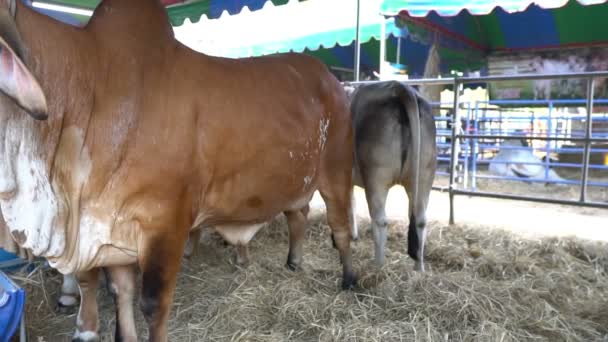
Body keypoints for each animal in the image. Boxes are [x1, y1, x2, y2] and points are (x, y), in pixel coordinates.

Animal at [0, 1, 356, 340]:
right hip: (296, 182)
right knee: (298, 215)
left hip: (337, 171)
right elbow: (120, 292)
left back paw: (350, 280)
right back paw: (294, 262)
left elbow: (152, 304)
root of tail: (329, 77)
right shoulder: (110, 233)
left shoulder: (165, 224)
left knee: (340, 229)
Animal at [346, 81, 436, 272]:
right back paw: (419, 269)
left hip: (376, 176)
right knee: (420, 219)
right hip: (425, 174)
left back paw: (378, 267)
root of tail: (400, 87)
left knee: (380, 220)